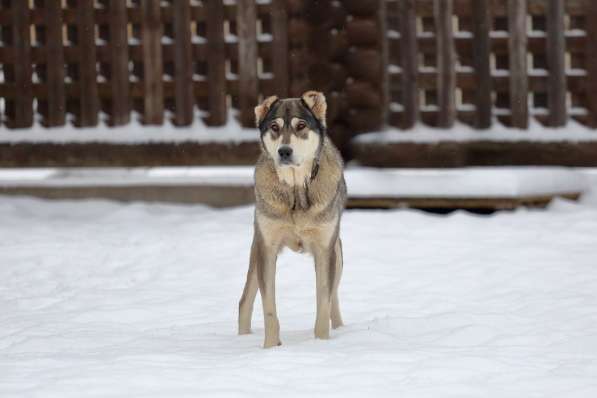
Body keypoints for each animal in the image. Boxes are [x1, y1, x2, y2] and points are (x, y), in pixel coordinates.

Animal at [237, 91, 346, 348]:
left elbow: (323, 302)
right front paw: (270, 347)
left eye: (301, 126)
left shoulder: (325, 249)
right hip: (256, 249)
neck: (295, 189)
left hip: (337, 254)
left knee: (334, 297)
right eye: (274, 127)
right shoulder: (267, 248)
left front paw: (322, 344)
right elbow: (269, 307)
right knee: (245, 300)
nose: (284, 151)